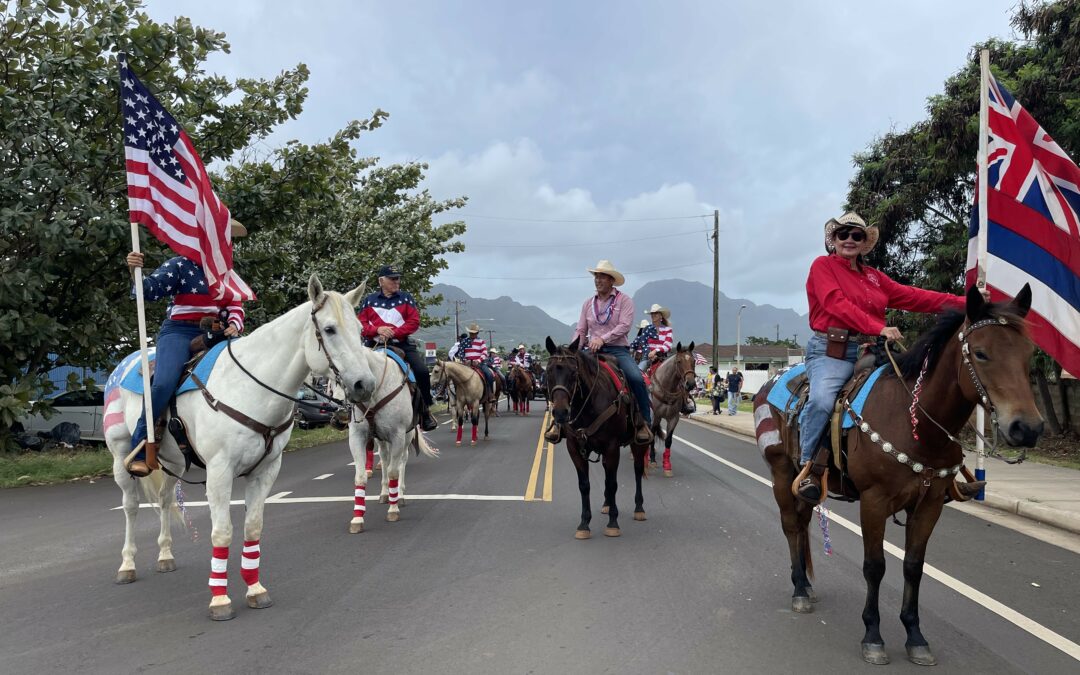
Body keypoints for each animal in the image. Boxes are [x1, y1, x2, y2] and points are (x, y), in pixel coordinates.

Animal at [104, 275, 375, 622]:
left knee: (164, 501)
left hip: (172, 463)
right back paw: (127, 564)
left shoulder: (266, 471)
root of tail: (122, 365)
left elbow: (253, 527)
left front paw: (255, 589)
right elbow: (222, 532)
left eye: (359, 329)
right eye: (329, 329)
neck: (249, 387)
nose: (364, 385)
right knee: (131, 506)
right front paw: (220, 599)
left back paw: (165, 555)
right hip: (120, 455)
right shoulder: (220, 472)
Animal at [339, 345, 436, 533]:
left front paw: (393, 509)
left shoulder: (398, 436)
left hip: (407, 437)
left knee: (401, 462)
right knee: (384, 458)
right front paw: (357, 518)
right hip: (382, 440)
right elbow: (360, 475)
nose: (338, 416)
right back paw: (385, 494)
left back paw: (400, 495)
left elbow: (394, 471)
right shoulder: (357, 437)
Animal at [544, 336, 643, 537]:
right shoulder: (575, 447)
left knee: (638, 470)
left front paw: (613, 523)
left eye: (574, 372)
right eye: (548, 371)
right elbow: (584, 485)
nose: (560, 412)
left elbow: (612, 483)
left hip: (637, 442)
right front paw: (584, 524)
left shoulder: (612, 447)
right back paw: (606, 504)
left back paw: (639, 508)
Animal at [643, 341, 695, 473]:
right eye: (679, 361)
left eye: (694, 361)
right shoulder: (655, 417)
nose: (691, 384)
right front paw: (652, 460)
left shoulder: (673, 418)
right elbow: (652, 435)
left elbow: (668, 440)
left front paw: (667, 465)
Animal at [751, 285, 1045, 665]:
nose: (1027, 428)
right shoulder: (874, 501)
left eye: (1029, 353)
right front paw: (873, 635)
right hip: (781, 471)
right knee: (790, 525)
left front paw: (915, 636)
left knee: (801, 524)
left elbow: (913, 566)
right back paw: (800, 589)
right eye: (981, 353)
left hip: (803, 484)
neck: (914, 422)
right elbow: (875, 566)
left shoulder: (929, 504)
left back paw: (806, 585)